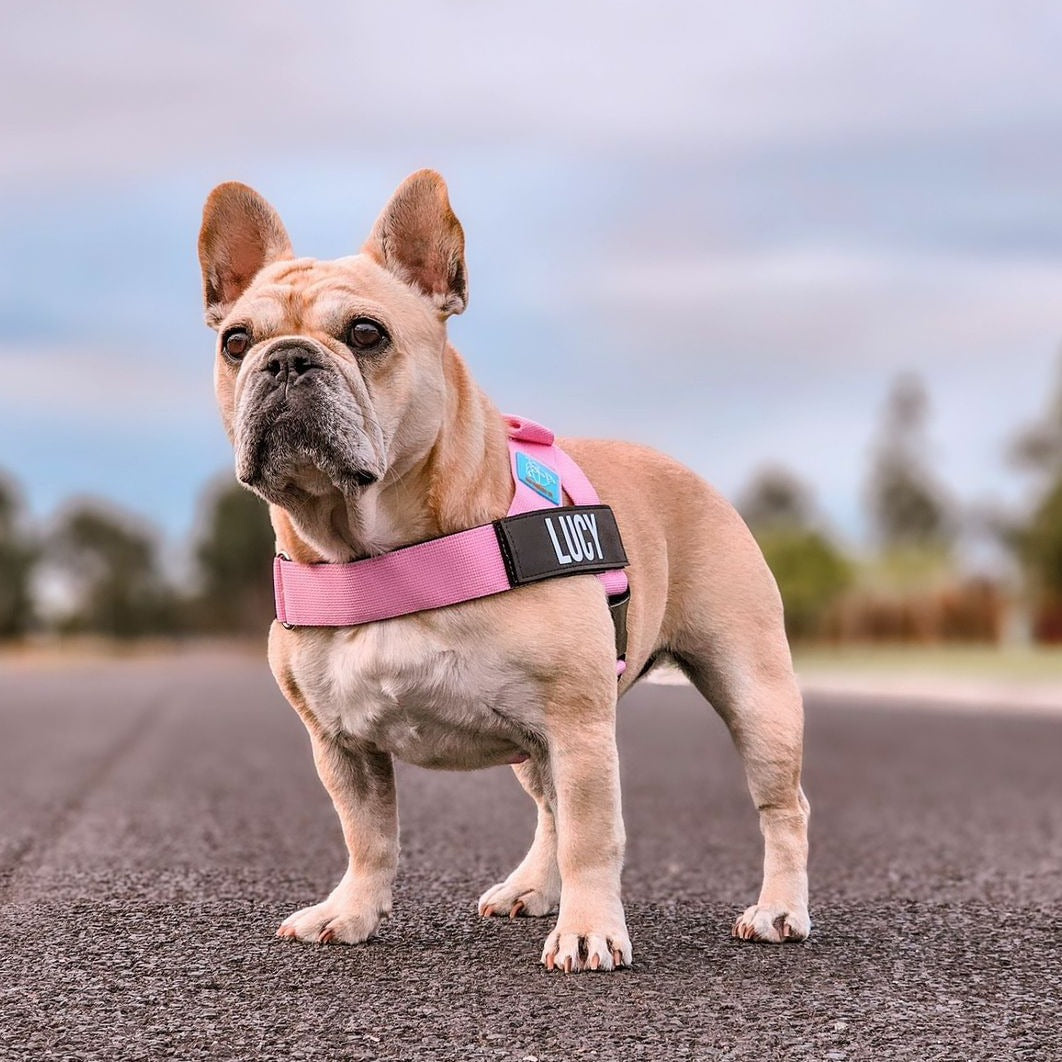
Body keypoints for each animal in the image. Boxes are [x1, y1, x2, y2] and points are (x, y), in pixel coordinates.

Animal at [199, 169, 811, 972]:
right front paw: (352, 911)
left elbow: (593, 838)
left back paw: (779, 910)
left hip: (752, 690)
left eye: (366, 334)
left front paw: (589, 930)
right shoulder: (340, 743)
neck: (373, 548)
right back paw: (530, 888)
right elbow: (367, 836)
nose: (286, 360)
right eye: (236, 342)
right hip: (536, 739)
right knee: (549, 808)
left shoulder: (579, 724)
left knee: (779, 805)